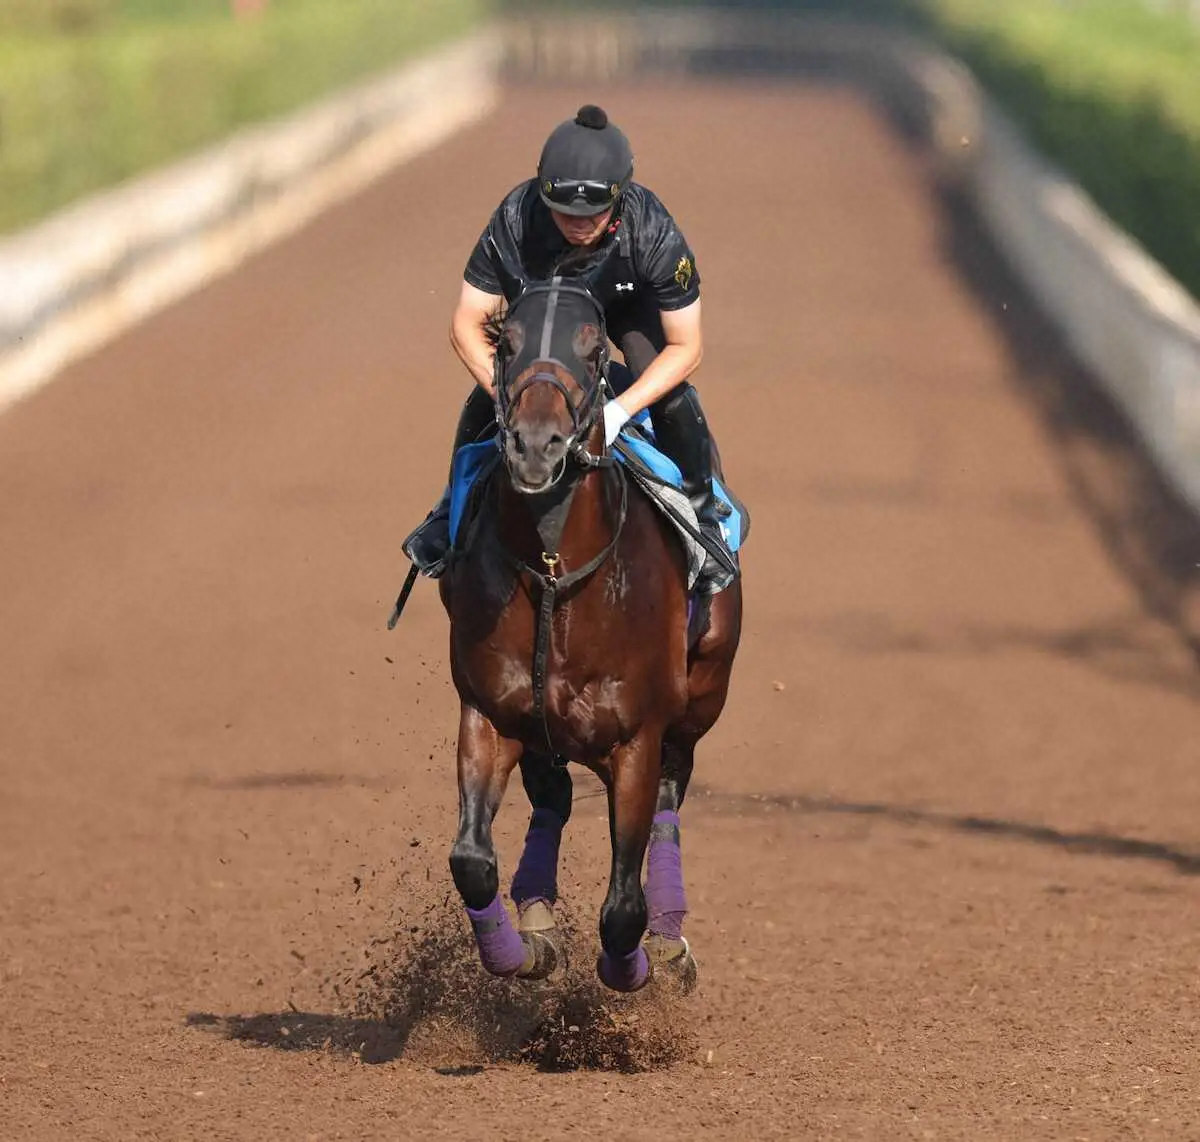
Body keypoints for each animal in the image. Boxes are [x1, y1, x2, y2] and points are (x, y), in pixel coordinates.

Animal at [441, 277, 739, 988]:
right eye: (507, 342)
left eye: (593, 349)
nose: (534, 444)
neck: (556, 574)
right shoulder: (489, 712)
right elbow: (471, 861)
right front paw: (520, 951)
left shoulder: (637, 739)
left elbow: (624, 908)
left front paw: (634, 970)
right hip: (541, 734)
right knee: (551, 795)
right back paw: (536, 917)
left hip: (700, 701)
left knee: (669, 798)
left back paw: (668, 940)